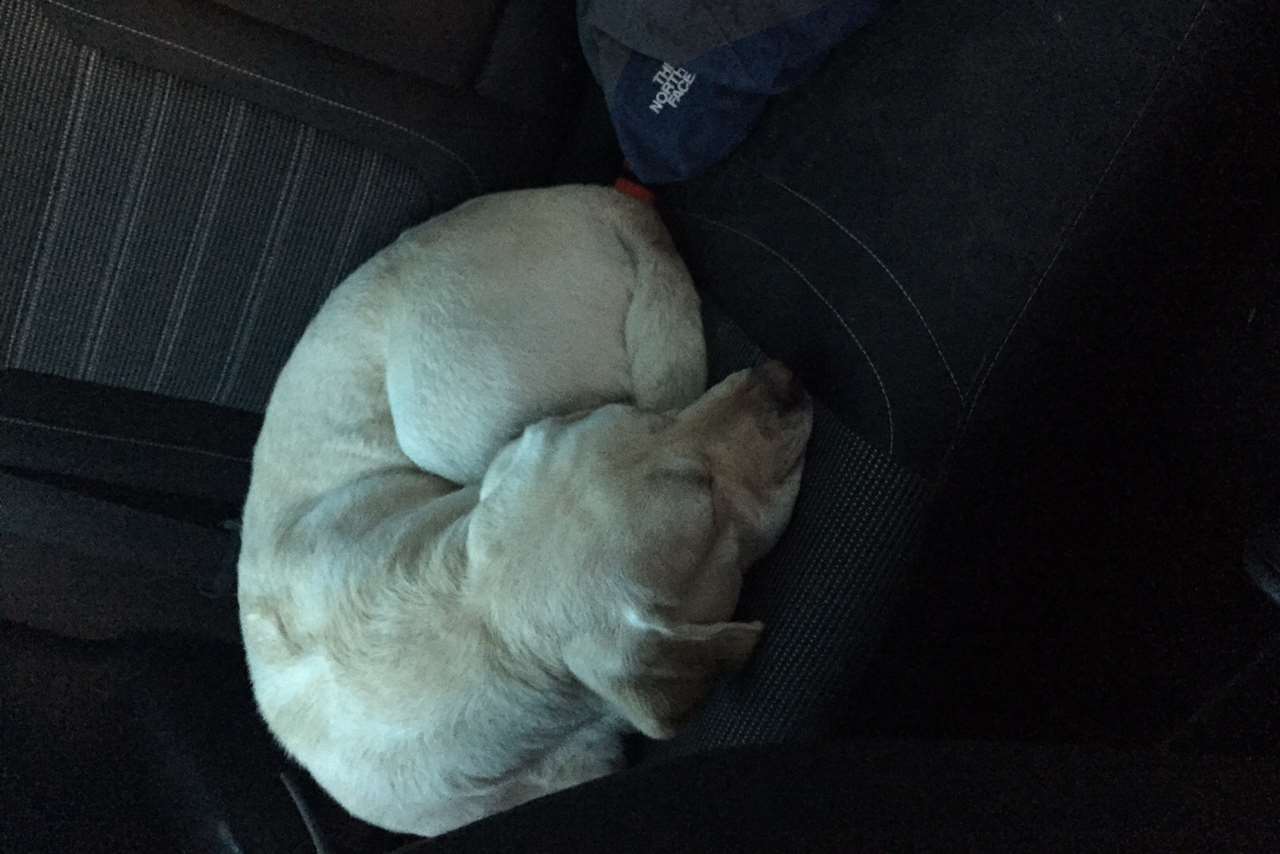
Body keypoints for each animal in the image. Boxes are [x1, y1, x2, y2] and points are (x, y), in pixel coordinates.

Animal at [238, 181, 808, 834]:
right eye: (707, 499)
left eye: (653, 418)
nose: (779, 377)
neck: (474, 613)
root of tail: (599, 197)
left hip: (447, 425)